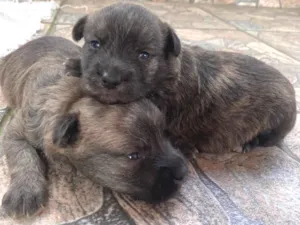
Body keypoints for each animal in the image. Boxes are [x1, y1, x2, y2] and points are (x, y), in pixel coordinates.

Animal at [0, 36, 188, 218]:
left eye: (163, 132)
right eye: (133, 156)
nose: (183, 171)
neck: (72, 99)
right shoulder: (17, 130)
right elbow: (23, 155)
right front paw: (25, 192)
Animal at [71, 3, 298, 154]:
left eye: (144, 55)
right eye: (95, 44)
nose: (110, 79)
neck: (166, 72)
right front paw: (74, 64)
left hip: (278, 116)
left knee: (273, 137)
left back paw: (250, 143)